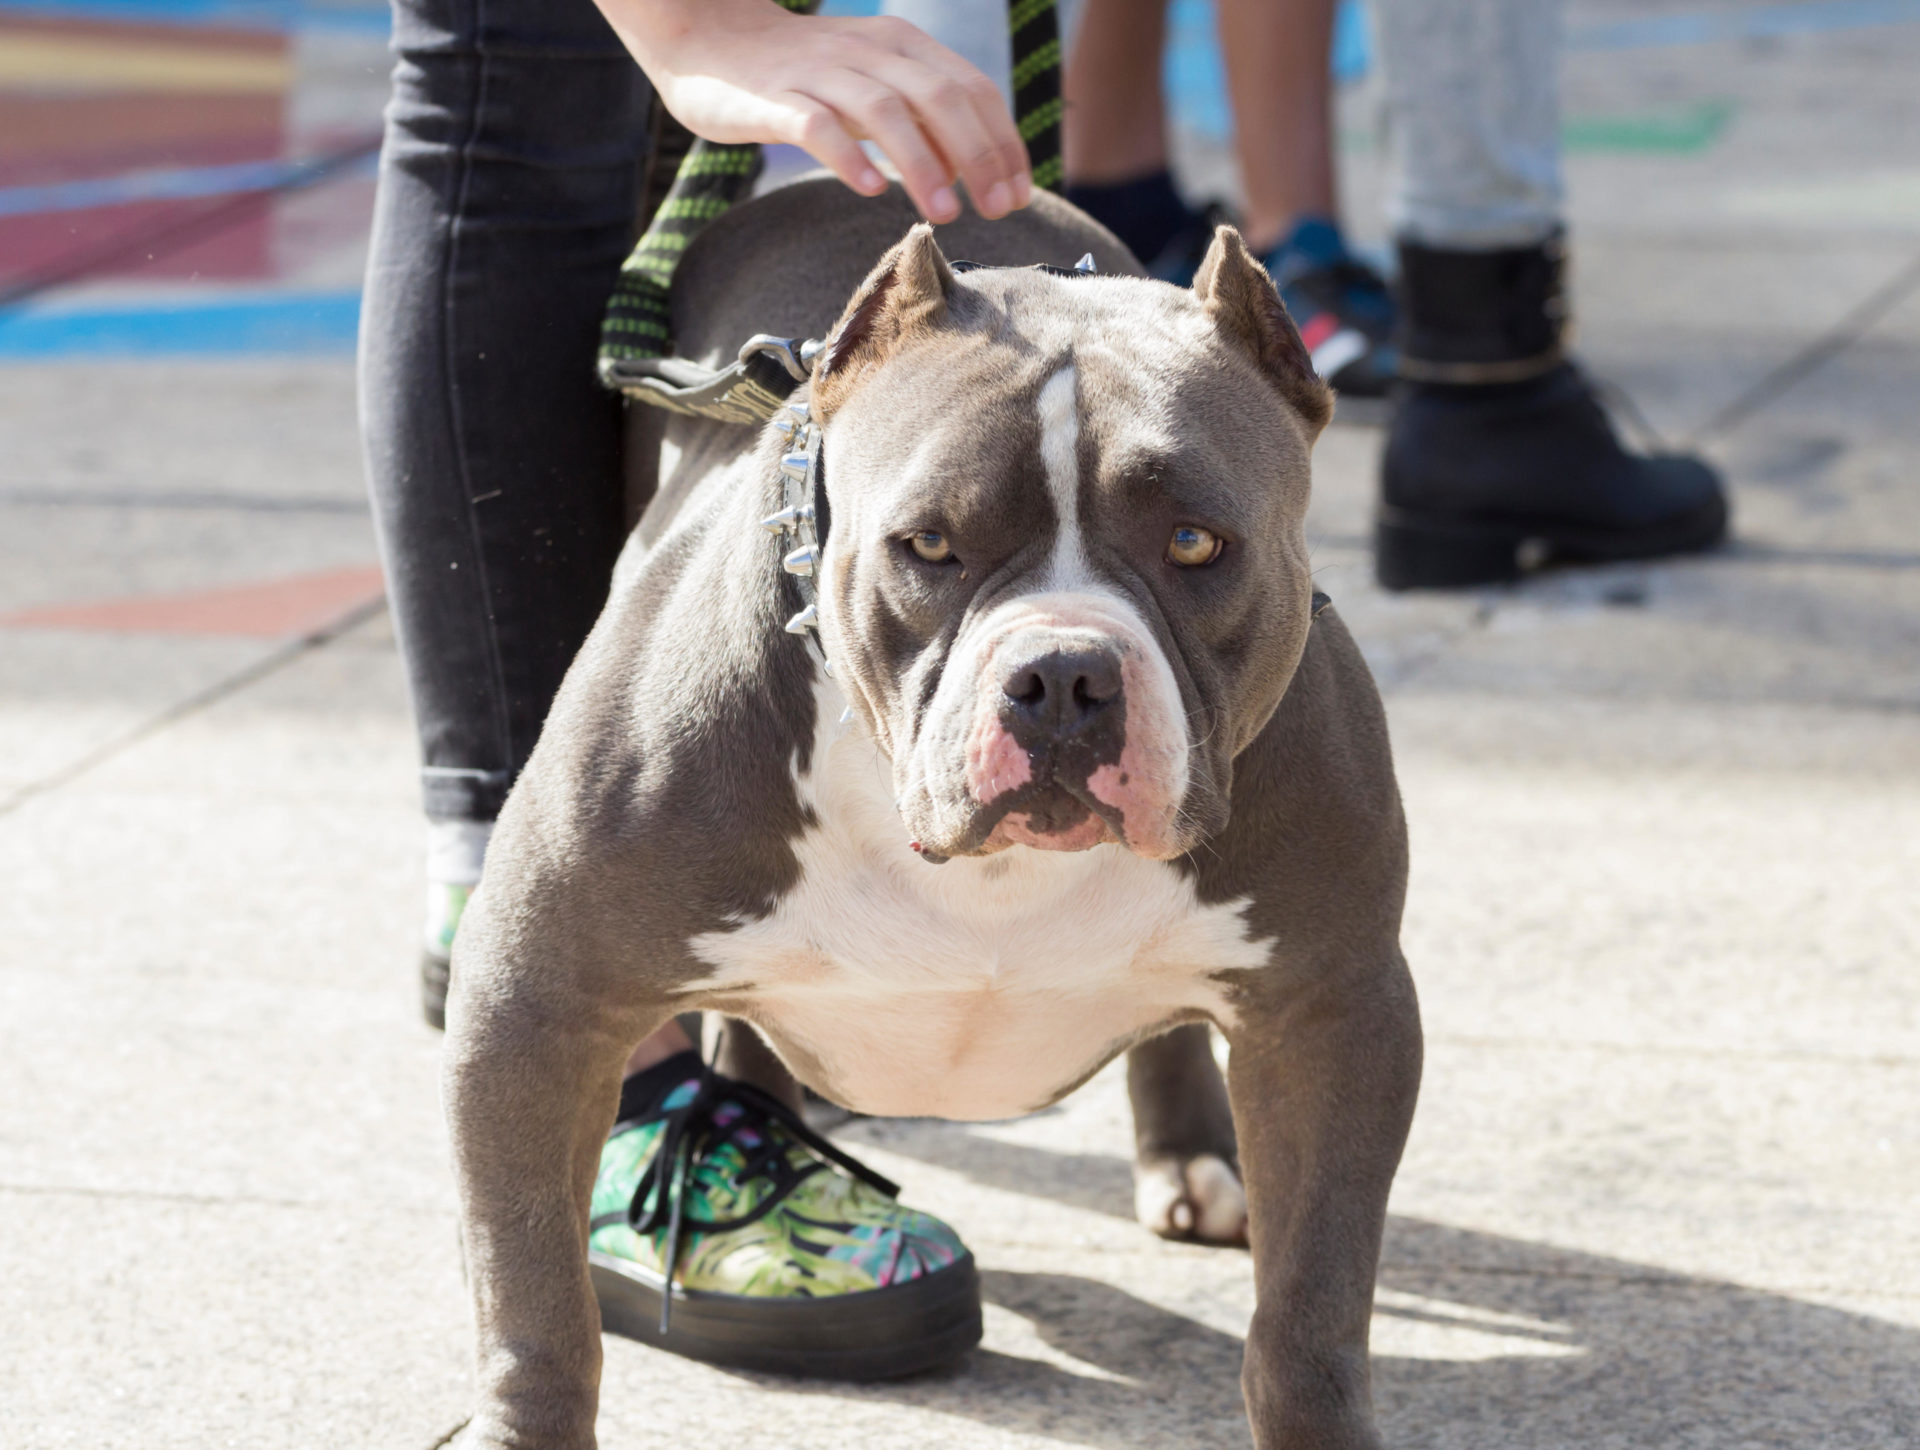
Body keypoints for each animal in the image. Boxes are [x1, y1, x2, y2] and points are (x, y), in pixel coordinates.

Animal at [441, 175, 1420, 1444]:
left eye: (1196, 541)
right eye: (930, 545)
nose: (1064, 677)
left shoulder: (1333, 1013)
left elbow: (1309, 1315)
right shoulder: (536, 1001)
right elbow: (535, 1303)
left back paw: (1194, 1158)